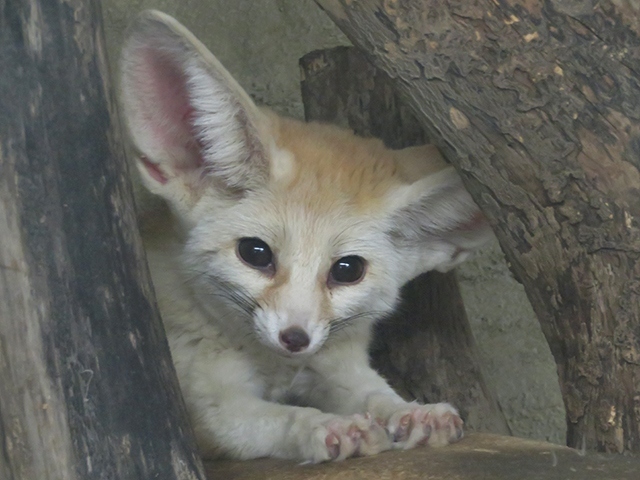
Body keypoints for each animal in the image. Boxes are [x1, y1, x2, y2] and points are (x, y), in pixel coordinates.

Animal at [120, 10, 490, 462]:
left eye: (347, 270)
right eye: (255, 253)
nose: (295, 338)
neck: (276, 366)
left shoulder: (339, 363)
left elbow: (376, 394)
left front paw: (412, 411)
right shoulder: (209, 407)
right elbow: (277, 418)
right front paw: (323, 425)